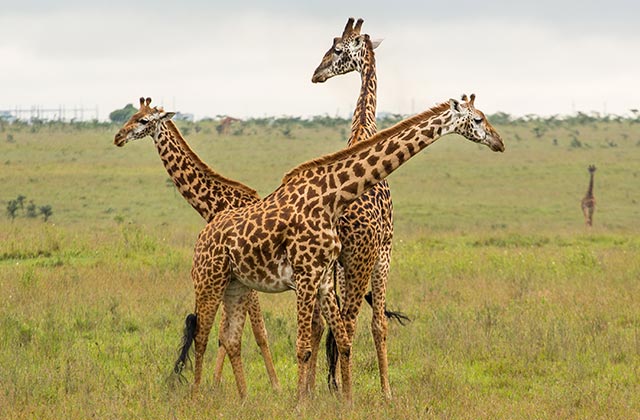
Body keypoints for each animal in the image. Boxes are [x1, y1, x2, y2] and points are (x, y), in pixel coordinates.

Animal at [113, 97, 279, 390]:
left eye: (143, 120)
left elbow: (259, 332)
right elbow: (226, 334)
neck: (216, 204)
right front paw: (215, 383)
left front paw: (275, 386)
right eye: (131, 115)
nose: (118, 137)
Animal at [181, 94, 504, 403]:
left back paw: (239, 399)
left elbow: (343, 339)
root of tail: (202, 236)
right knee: (201, 336)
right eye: (478, 119)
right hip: (209, 281)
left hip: (236, 285)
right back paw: (196, 397)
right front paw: (300, 404)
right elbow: (303, 346)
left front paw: (346, 401)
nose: (499, 142)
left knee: (230, 338)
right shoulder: (306, 274)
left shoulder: (323, 278)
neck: (332, 198)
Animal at [311, 17, 407, 398]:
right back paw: (349, 392)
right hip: (362, 261)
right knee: (350, 324)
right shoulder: (384, 252)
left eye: (337, 49)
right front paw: (387, 391)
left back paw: (326, 387)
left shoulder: (339, 264)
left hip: (330, 265)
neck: (363, 130)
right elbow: (379, 323)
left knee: (322, 323)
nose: (317, 73)